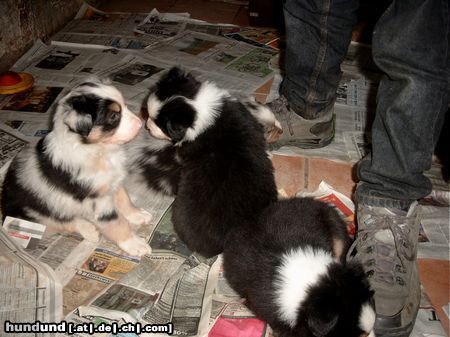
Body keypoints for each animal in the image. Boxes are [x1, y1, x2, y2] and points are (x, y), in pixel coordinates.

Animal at [1, 79, 153, 256]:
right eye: (114, 116)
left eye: (125, 105)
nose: (140, 124)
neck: (97, 150)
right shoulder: (97, 201)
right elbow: (117, 223)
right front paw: (134, 244)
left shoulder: (113, 181)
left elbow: (124, 199)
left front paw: (137, 215)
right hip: (36, 214)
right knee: (60, 224)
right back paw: (89, 230)